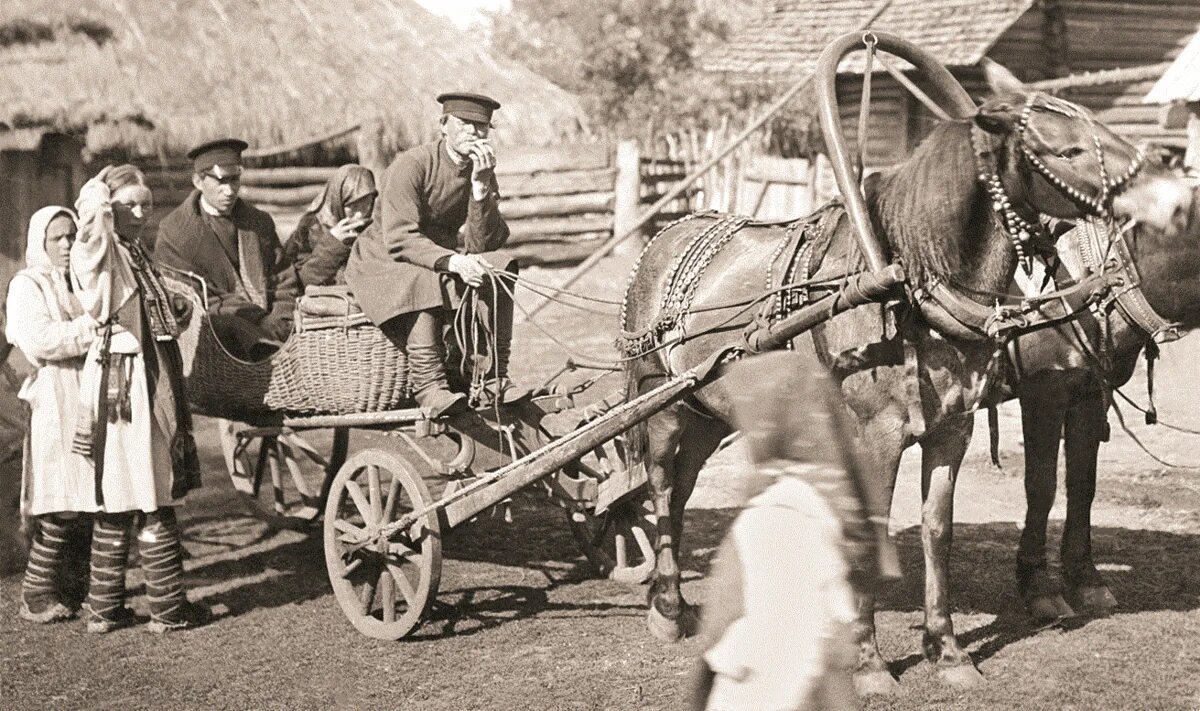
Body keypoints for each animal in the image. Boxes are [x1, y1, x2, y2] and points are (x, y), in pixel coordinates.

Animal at [614, 61, 1195, 696]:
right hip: (665, 404)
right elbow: (1021, 491)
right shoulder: (911, 426)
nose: (1175, 199)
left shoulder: (971, 423)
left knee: (684, 489)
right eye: (1066, 150)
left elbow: (951, 525)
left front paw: (949, 648)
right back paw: (668, 607)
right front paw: (870, 661)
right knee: (661, 486)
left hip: (711, 412)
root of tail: (665, 237)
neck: (911, 285)